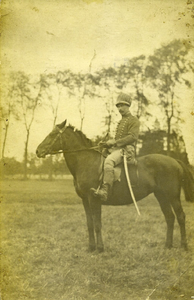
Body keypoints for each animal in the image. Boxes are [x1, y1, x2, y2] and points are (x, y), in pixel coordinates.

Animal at [36, 120, 194, 252]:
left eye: (52, 134)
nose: (38, 151)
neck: (86, 162)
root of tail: (175, 161)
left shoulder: (94, 199)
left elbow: (97, 224)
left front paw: (100, 248)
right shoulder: (85, 200)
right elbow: (89, 224)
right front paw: (91, 247)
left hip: (172, 196)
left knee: (180, 216)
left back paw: (183, 246)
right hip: (161, 196)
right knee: (170, 217)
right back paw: (168, 245)